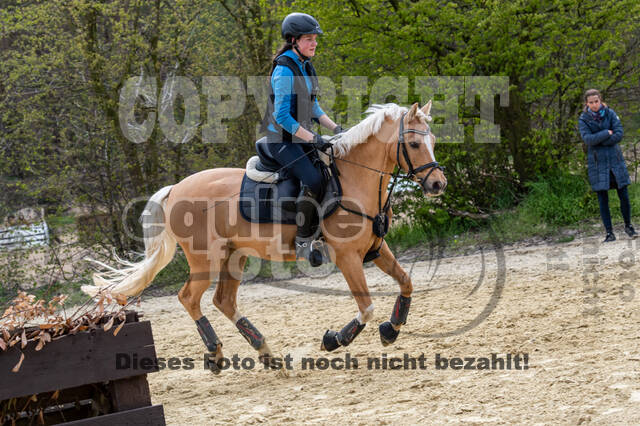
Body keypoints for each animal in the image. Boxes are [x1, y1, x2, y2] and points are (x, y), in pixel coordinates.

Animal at [82, 101, 448, 372]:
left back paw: (266, 352)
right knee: (189, 297)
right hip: (205, 259)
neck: (355, 179)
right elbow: (367, 307)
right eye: (414, 143)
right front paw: (334, 339)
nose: (437, 184)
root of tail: (175, 189)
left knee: (223, 301)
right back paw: (216, 354)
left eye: (432, 142)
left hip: (235, 256)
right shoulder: (347, 258)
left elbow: (406, 284)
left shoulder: (377, 249)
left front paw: (391, 329)